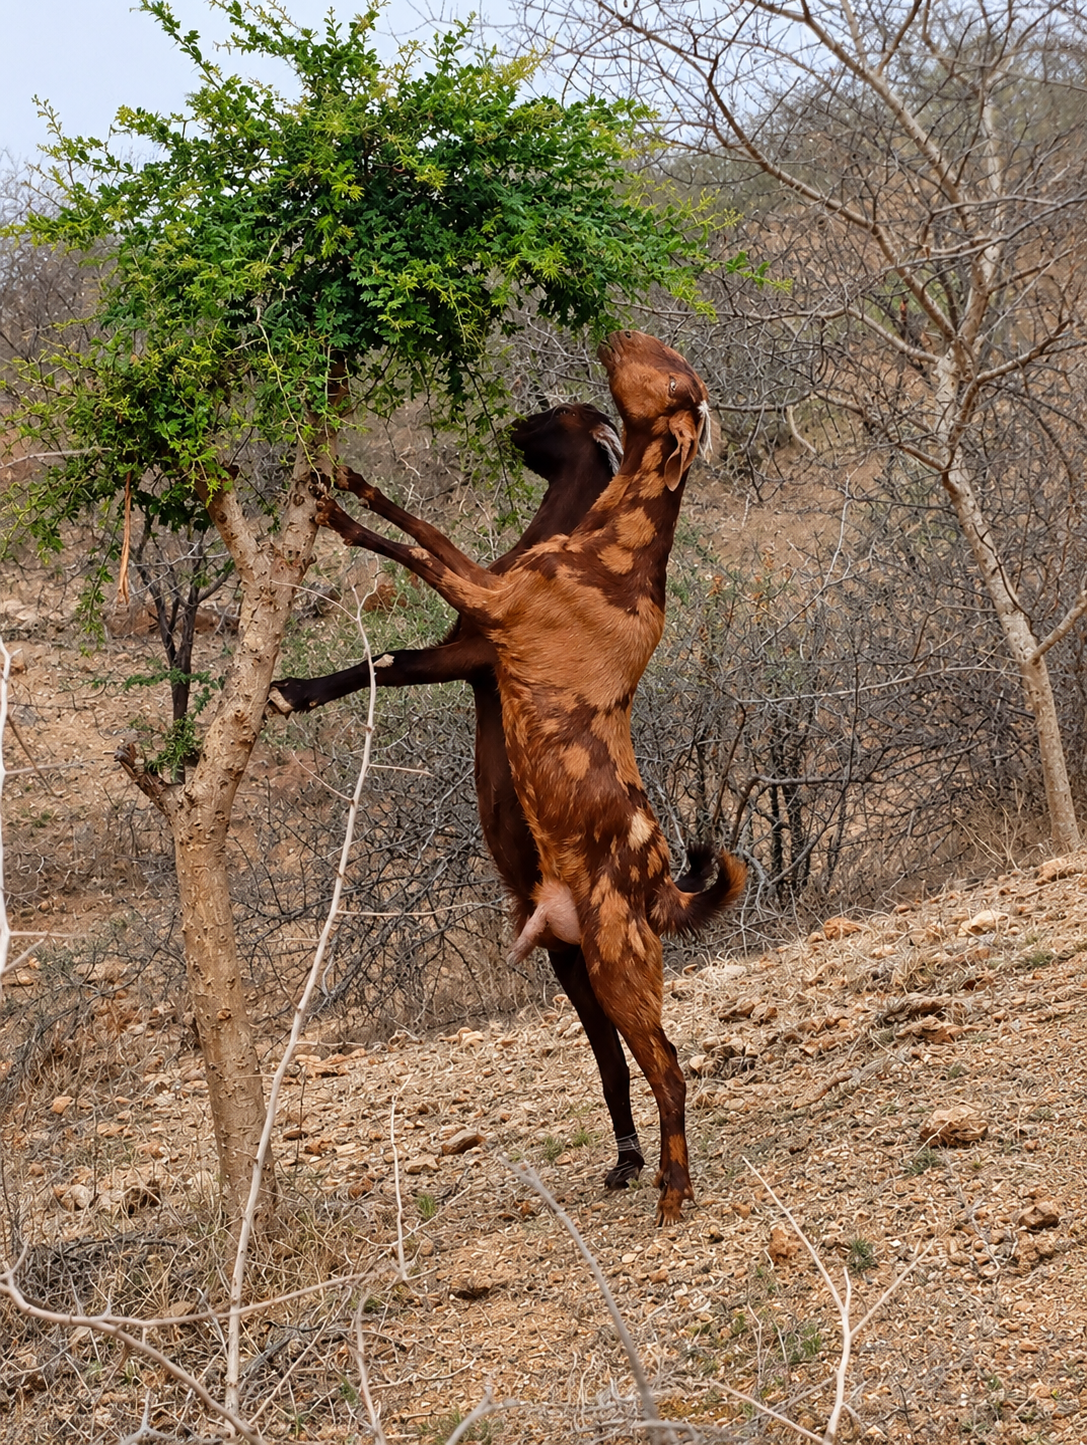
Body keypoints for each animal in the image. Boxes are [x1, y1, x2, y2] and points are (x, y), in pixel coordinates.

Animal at [312, 332, 747, 1222]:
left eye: (670, 377)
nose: (615, 331)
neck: (613, 552)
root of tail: (659, 884)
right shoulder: (485, 595)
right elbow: (414, 528)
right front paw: (346, 480)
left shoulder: (488, 601)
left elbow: (408, 538)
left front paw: (339, 513)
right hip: (582, 965)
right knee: (640, 1066)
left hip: (619, 969)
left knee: (671, 1071)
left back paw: (674, 1191)